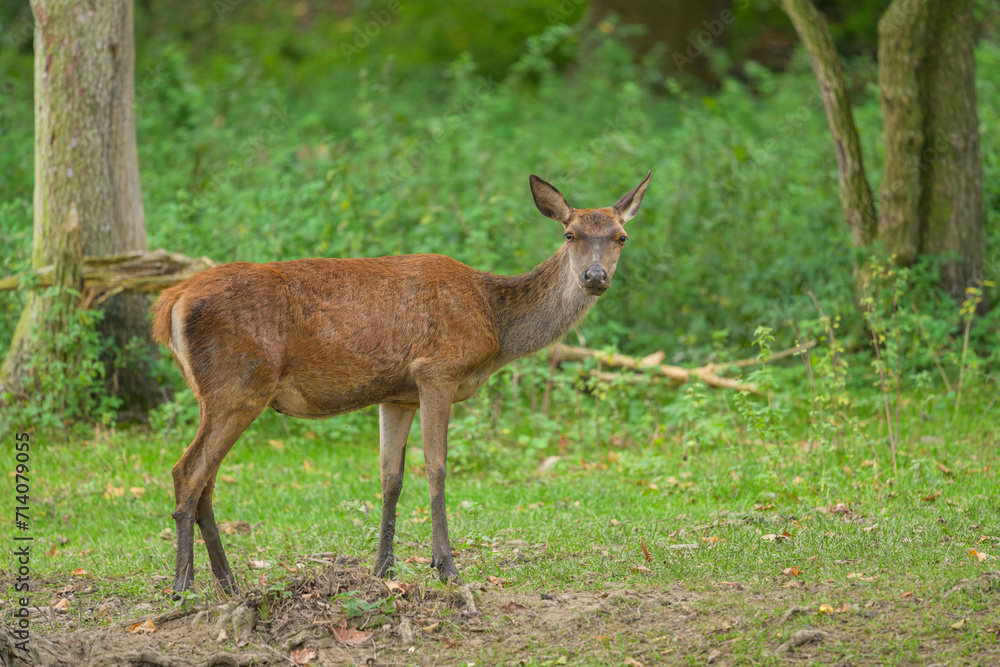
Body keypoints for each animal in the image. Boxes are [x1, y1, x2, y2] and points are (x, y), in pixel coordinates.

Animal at [148, 172, 648, 596]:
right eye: (570, 234)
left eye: (621, 237)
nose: (596, 276)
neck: (496, 324)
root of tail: (172, 300)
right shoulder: (437, 372)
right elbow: (437, 467)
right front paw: (446, 566)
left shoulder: (397, 395)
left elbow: (391, 477)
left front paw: (383, 568)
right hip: (239, 385)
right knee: (187, 472)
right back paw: (183, 586)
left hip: (216, 393)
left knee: (206, 481)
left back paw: (229, 583)